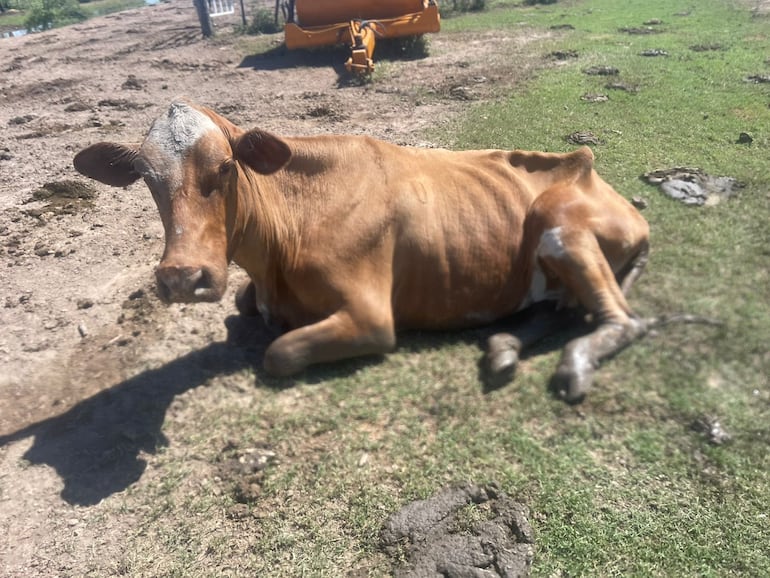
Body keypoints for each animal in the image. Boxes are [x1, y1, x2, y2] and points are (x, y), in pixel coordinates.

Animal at [73, 101, 656, 400]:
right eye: (147, 178)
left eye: (225, 166)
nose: (181, 277)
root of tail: (589, 170)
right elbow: (242, 309)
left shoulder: (371, 316)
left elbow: (278, 352)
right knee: (560, 307)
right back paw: (504, 346)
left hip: (563, 224)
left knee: (622, 320)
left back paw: (572, 365)